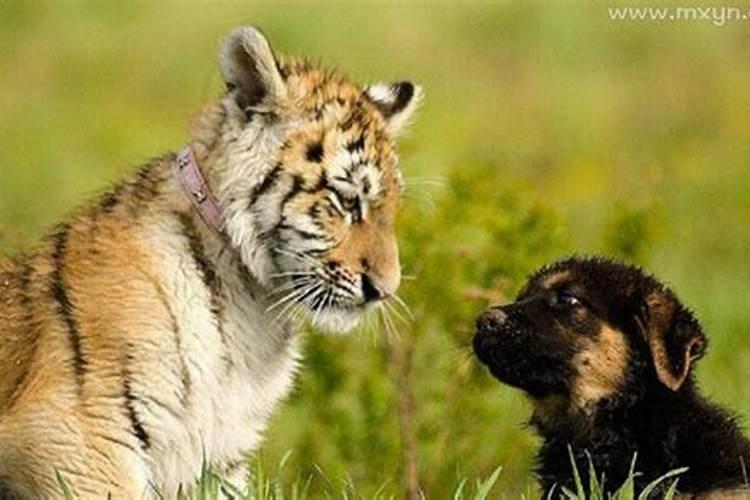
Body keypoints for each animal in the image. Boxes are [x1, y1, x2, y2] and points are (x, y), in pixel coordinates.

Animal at [0, 26, 421, 499]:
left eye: (392, 207)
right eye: (347, 201)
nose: (385, 289)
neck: (253, 304)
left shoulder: (219, 456)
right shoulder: (75, 437)